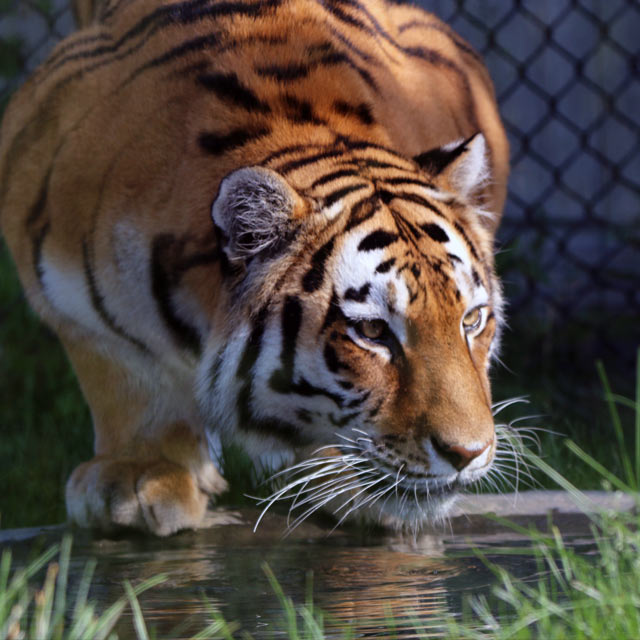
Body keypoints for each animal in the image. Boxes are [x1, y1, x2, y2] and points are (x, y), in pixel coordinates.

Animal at [0, 0, 510, 536]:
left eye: (472, 320)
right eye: (371, 331)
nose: (469, 453)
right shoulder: (67, 291)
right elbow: (127, 375)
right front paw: (138, 477)